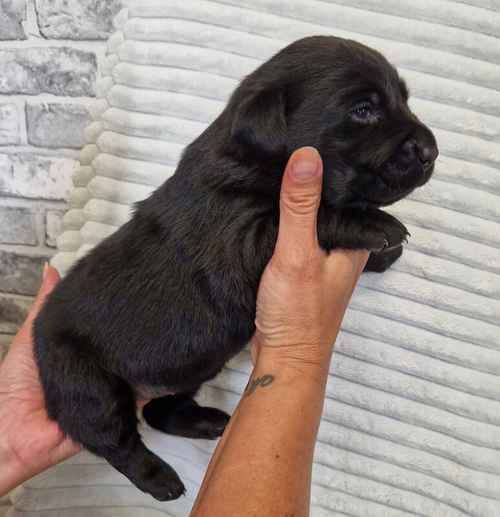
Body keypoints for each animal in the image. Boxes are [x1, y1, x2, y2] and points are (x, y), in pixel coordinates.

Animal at [33, 35, 436, 496]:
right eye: (363, 110)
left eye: (404, 100)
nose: (432, 150)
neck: (257, 160)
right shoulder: (239, 236)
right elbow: (317, 215)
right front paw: (373, 225)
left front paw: (384, 253)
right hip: (84, 381)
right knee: (113, 440)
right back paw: (161, 479)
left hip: (194, 367)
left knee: (159, 411)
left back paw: (207, 422)